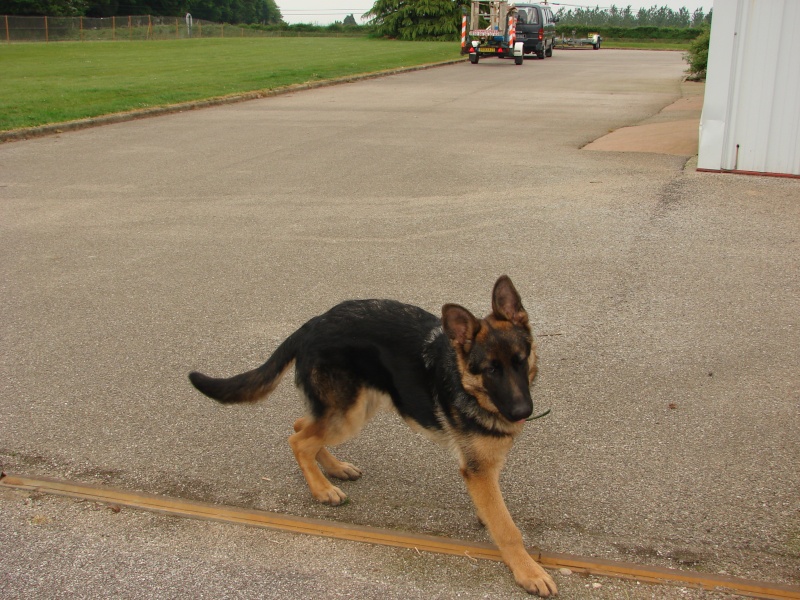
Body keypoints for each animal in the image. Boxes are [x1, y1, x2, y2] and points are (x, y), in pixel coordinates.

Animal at [191, 276, 560, 596]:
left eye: (520, 360)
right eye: (491, 370)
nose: (522, 411)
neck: (469, 384)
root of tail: (313, 323)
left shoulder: (486, 465)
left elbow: (495, 512)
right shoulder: (478, 469)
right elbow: (508, 529)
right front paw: (529, 572)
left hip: (355, 407)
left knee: (300, 426)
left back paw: (335, 468)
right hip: (349, 414)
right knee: (298, 440)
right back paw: (323, 489)